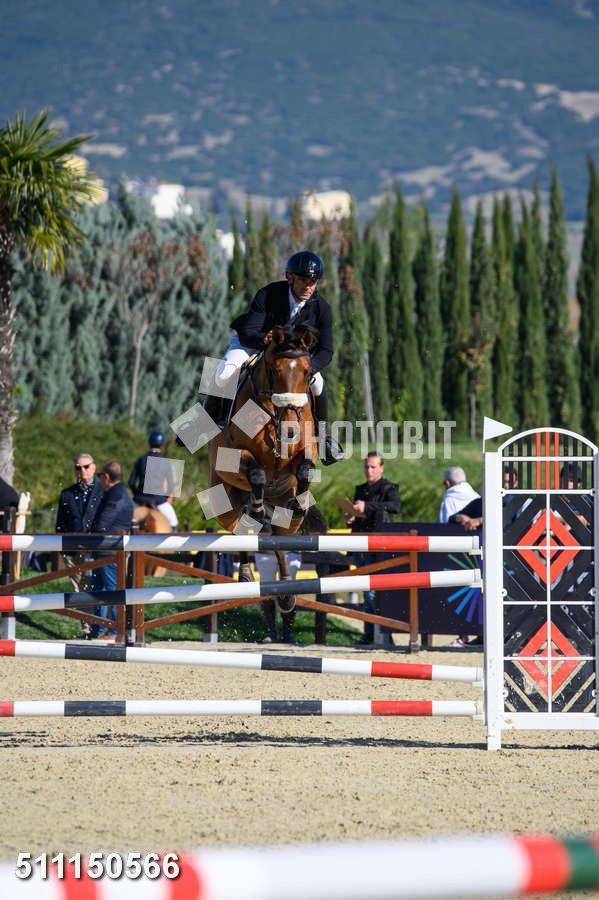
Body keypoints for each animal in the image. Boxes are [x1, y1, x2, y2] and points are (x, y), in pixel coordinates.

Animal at [207, 324, 320, 617]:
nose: (290, 429)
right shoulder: (238, 455)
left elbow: (305, 471)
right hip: (224, 503)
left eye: (308, 372)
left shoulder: (305, 453)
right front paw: (257, 510)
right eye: (274, 371)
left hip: (279, 506)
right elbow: (257, 473)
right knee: (241, 529)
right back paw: (246, 574)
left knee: (279, 540)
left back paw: (286, 592)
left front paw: (299, 506)